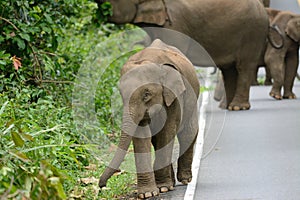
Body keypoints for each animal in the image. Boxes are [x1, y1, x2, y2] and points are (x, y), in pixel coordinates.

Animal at [95, 0, 268, 110]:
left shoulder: (175, 24)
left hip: (252, 33)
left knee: (244, 66)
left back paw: (237, 107)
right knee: (229, 70)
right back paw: (228, 107)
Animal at [99, 39, 202, 198]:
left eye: (146, 94)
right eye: (121, 94)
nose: (102, 186)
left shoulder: (174, 97)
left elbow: (167, 132)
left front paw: (163, 188)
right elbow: (142, 135)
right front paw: (148, 193)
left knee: (187, 134)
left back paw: (184, 180)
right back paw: (172, 183)